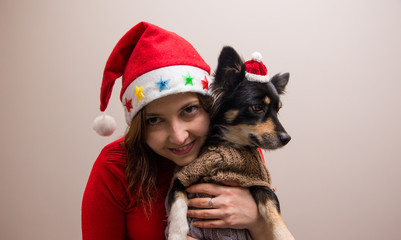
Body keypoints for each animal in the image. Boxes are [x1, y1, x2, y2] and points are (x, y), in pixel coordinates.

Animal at [166, 46, 294, 239]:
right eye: (258, 107)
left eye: (277, 111)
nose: (286, 138)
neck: (231, 145)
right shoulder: (182, 177)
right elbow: (178, 204)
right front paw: (176, 233)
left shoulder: (260, 183)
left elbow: (273, 209)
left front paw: (285, 235)